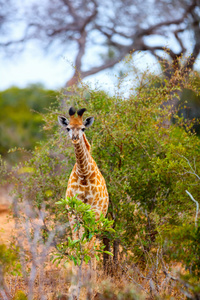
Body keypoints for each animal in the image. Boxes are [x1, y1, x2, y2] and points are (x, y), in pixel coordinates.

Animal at [57, 106, 109, 298]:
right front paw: (73, 289)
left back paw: (92, 288)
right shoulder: (72, 213)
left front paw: (86, 289)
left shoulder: (94, 212)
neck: (84, 174)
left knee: (92, 247)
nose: (74, 137)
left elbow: (87, 247)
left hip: (99, 219)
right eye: (68, 127)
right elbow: (76, 247)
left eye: (83, 128)